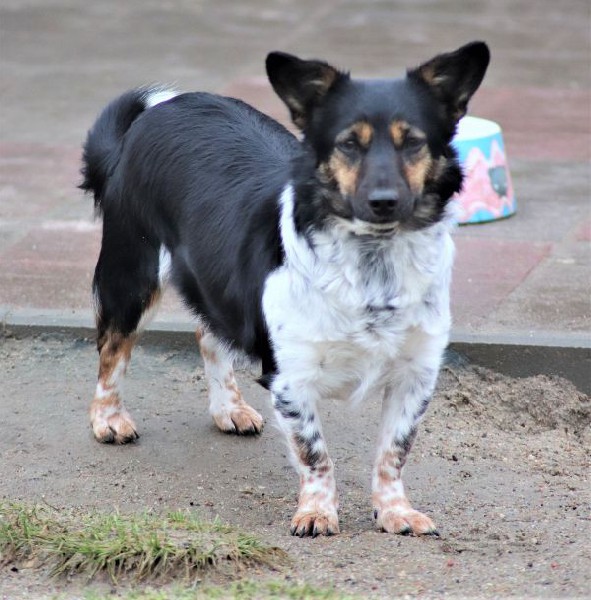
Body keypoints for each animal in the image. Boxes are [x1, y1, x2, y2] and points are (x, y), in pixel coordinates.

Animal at [81, 42, 492, 540]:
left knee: (208, 332)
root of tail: (154, 115)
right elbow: (316, 453)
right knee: (112, 348)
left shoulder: (416, 375)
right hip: (132, 274)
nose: (384, 201)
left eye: (412, 141)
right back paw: (109, 419)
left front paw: (395, 511)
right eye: (348, 143)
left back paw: (229, 408)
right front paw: (317, 511)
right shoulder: (292, 380)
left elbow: (393, 453)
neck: (372, 265)